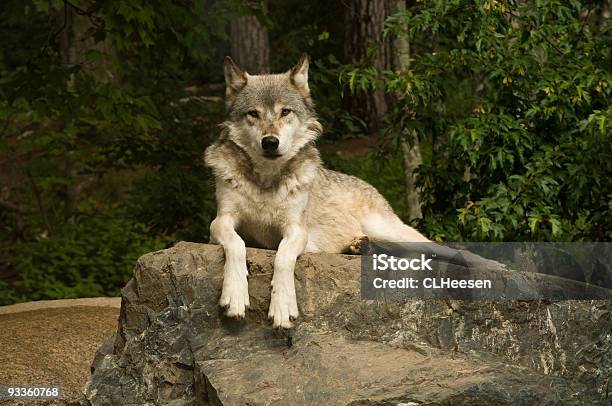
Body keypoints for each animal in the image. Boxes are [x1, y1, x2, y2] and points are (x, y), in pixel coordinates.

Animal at [203, 54, 428, 328]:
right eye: (253, 114)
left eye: (285, 111)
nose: (270, 142)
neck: (266, 181)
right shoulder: (221, 221)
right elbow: (237, 244)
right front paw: (235, 295)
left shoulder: (296, 230)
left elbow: (283, 257)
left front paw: (282, 306)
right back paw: (360, 246)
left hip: (390, 230)